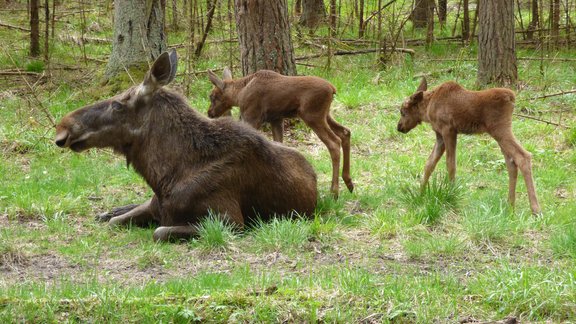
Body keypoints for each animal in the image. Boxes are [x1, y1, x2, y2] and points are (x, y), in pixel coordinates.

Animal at [54, 50, 320, 242]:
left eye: (117, 105)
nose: (63, 127)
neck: (163, 178)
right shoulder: (155, 205)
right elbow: (116, 222)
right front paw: (112, 214)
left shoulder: (232, 221)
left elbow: (159, 231)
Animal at [205, 68, 354, 199]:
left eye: (212, 96)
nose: (210, 113)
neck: (239, 93)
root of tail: (332, 89)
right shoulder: (276, 119)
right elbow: (278, 144)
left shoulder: (252, 116)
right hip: (325, 115)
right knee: (345, 132)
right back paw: (349, 182)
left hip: (313, 115)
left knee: (334, 143)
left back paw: (334, 191)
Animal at [398, 78, 544, 215]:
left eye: (403, 112)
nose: (399, 127)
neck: (427, 109)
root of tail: (512, 97)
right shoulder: (439, 135)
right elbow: (429, 164)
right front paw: (420, 194)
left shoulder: (448, 130)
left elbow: (451, 165)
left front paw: (451, 194)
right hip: (500, 133)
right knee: (511, 162)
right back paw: (510, 206)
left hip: (500, 129)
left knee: (523, 156)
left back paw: (535, 209)